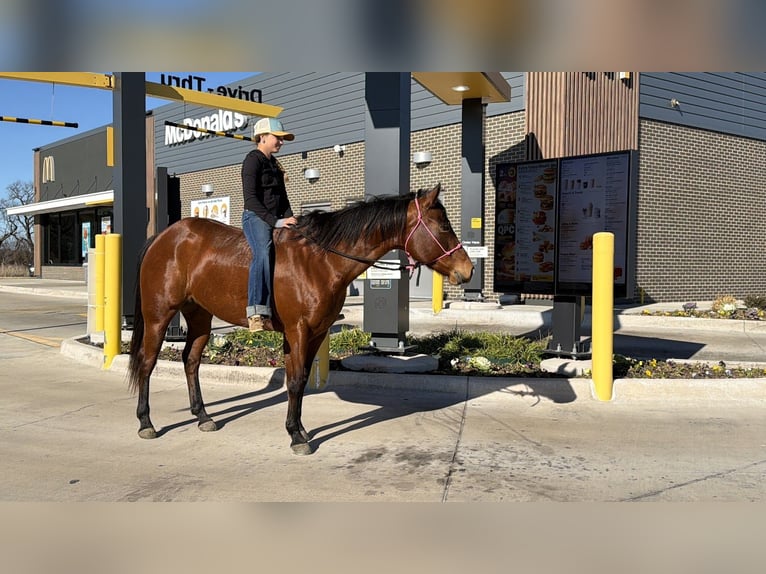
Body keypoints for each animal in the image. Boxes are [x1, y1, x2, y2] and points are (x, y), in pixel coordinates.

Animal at [127, 183, 474, 454]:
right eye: (444, 226)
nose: (467, 270)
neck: (321, 260)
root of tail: (163, 237)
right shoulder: (298, 330)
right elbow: (294, 381)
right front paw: (296, 436)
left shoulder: (317, 332)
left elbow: (303, 379)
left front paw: (301, 429)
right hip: (159, 315)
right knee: (147, 362)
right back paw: (145, 422)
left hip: (199, 316)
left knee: (190, 361)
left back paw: (203, 417)